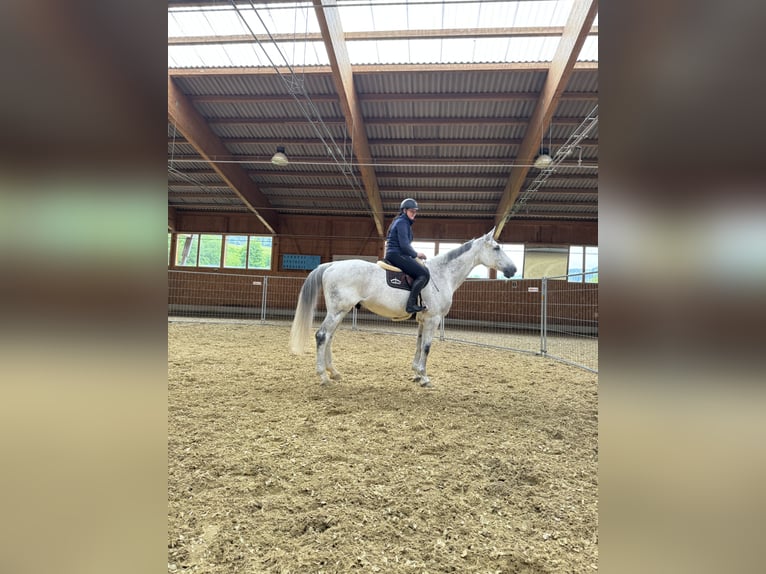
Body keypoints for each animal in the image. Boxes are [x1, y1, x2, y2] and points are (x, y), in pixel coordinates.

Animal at [289, 228, 517, 387]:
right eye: (496, 248)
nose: (513, 269)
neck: (441, 274)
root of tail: (331, 265)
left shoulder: (423, 320)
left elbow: (418, 344)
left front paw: (416, 373)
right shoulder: (433, 319)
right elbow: (427, 347)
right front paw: (424, 377)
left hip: (341, 311)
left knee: (329, 338)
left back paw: (333, 372)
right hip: (337, 311)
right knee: (322, 336)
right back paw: (323, 377)